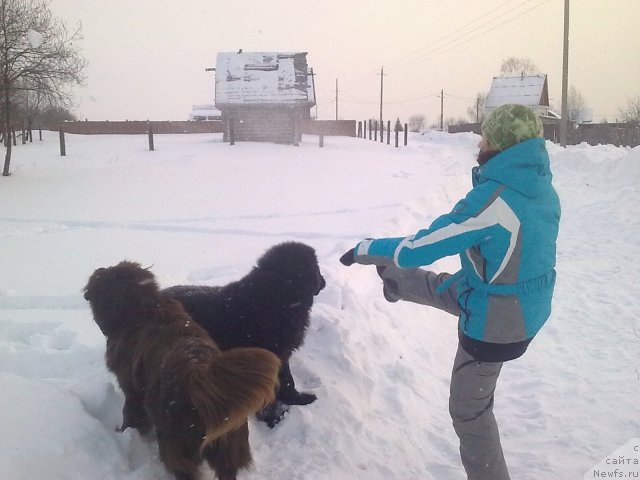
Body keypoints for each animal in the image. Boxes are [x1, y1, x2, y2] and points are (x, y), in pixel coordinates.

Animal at [82, 262, 280, 480]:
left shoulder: (131, 390)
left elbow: (131, 415)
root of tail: (197, 379)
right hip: (229, 446)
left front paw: (123, 432)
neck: (143, 308)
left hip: (176, 448)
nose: (98, 270)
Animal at [165, 242, 324, 426]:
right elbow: (285, 381)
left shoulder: (280, 355)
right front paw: (275, 414)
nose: (324, 281)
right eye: (316, 269)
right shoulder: (273, 354)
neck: (277, 298)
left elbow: (286, 381)